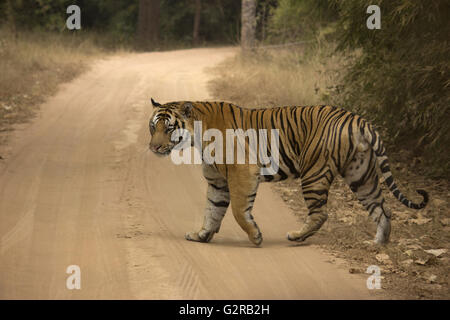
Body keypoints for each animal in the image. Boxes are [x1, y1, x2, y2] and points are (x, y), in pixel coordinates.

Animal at [149, 99, 428, 246]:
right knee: (383, 208)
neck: (198, 133)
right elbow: (212, 210)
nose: (153, 147)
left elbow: (238, 211)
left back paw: (296, 235)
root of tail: (359, 120)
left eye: (169, 128)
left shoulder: (242, 172)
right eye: (153, 127)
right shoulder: (218, 181)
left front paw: (255, 236)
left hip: (314, 172)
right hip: (361, 175)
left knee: (321, 213)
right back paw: (378, 244)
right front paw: (202, 235)